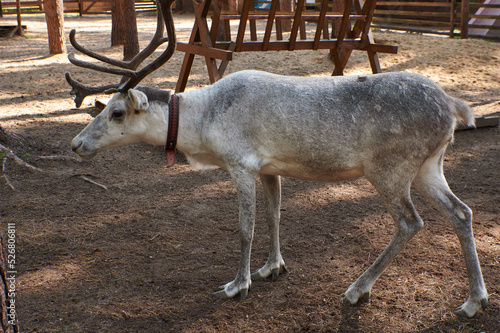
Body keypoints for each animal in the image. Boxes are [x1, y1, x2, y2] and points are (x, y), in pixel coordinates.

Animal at [64, 0, 486, 318]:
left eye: (117, 112)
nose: (76, 144)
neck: (204, 122)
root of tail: (451, 106)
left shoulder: (240, 164)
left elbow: (245, 228)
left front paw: (238, 284)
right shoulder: (269, 168)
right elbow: (274, 215)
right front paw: (272, 267)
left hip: (389, 170)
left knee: (410, 222)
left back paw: (356, 289)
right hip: (429, 166)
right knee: (461, 212)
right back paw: (473, 301)